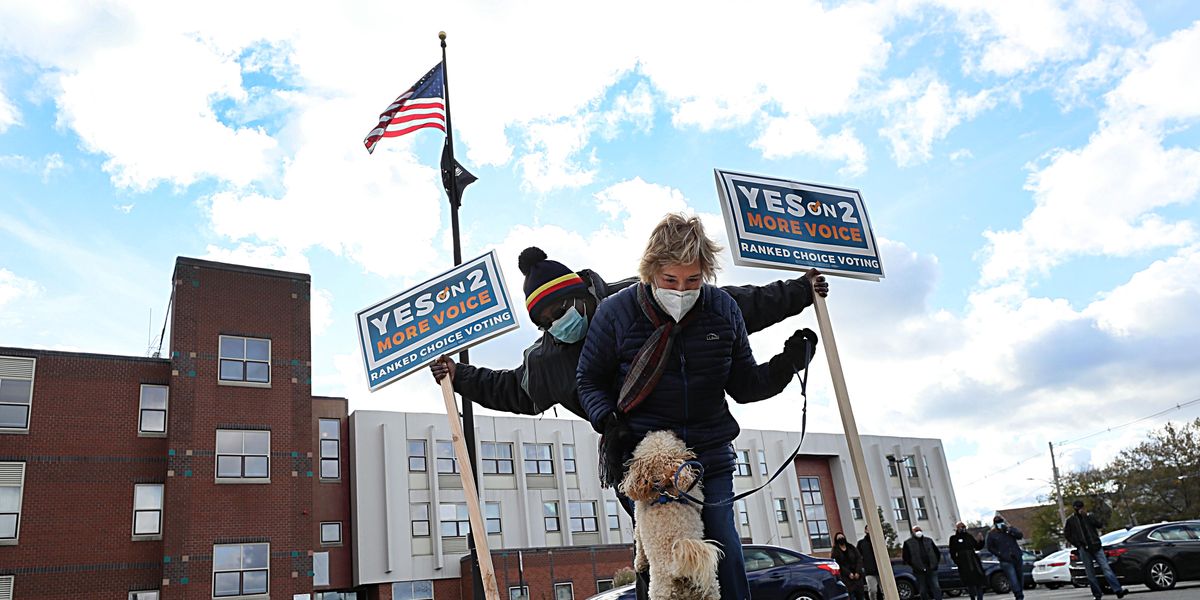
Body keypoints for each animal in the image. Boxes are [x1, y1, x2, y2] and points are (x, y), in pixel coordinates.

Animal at [624, 432, 715, 600]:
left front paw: (639, 564)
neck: (663, 489)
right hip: (709, 590)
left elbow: (639, 545)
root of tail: (677, 571)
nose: (673, 432)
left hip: (659, 593)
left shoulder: (638, 523)